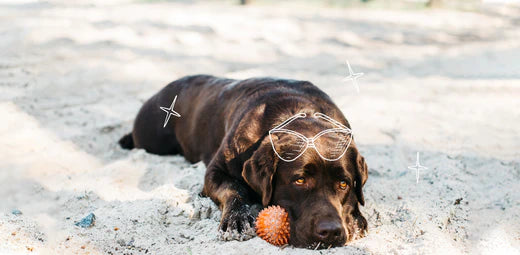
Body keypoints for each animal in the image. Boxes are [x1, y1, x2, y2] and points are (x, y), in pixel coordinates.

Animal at [119, 74, 368, 248]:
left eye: (344, 184)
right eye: (299, 181)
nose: (331, 231)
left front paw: (355, 218)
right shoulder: (215, 172)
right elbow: (233, 190)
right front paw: (237, 219)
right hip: (151, 137)